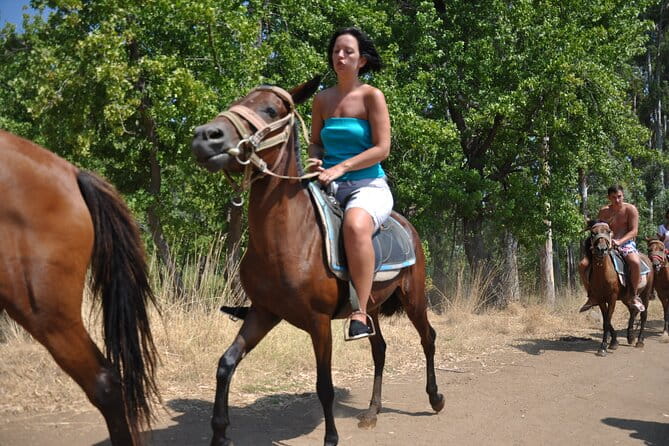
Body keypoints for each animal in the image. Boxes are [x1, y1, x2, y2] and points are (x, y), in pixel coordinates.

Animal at [191, 78, 444, 446]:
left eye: (270, 109)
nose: (205, 136)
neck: (287, 239)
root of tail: (405, 225)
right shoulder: (263, 313)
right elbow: (226, 364)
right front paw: (220, 435)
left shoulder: (318, 322)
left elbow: (324, 385)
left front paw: (331, 439)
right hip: (370, 307)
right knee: (380, 349)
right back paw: (372, 412)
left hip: (414, 298)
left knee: (428, 338)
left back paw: (435, 398)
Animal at [587, 222, 654, 356]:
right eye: (593, 233)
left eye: (608, 231)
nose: (601, 249)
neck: (604, 274)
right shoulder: (600, 299)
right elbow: (605, 320)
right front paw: (613, 342)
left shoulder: (612, 298)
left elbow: (607, 321)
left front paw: (603, 347)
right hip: (626, 298)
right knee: (633, 311)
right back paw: (630, 336)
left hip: (645, 293)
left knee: (643, 315)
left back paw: (639, 340)